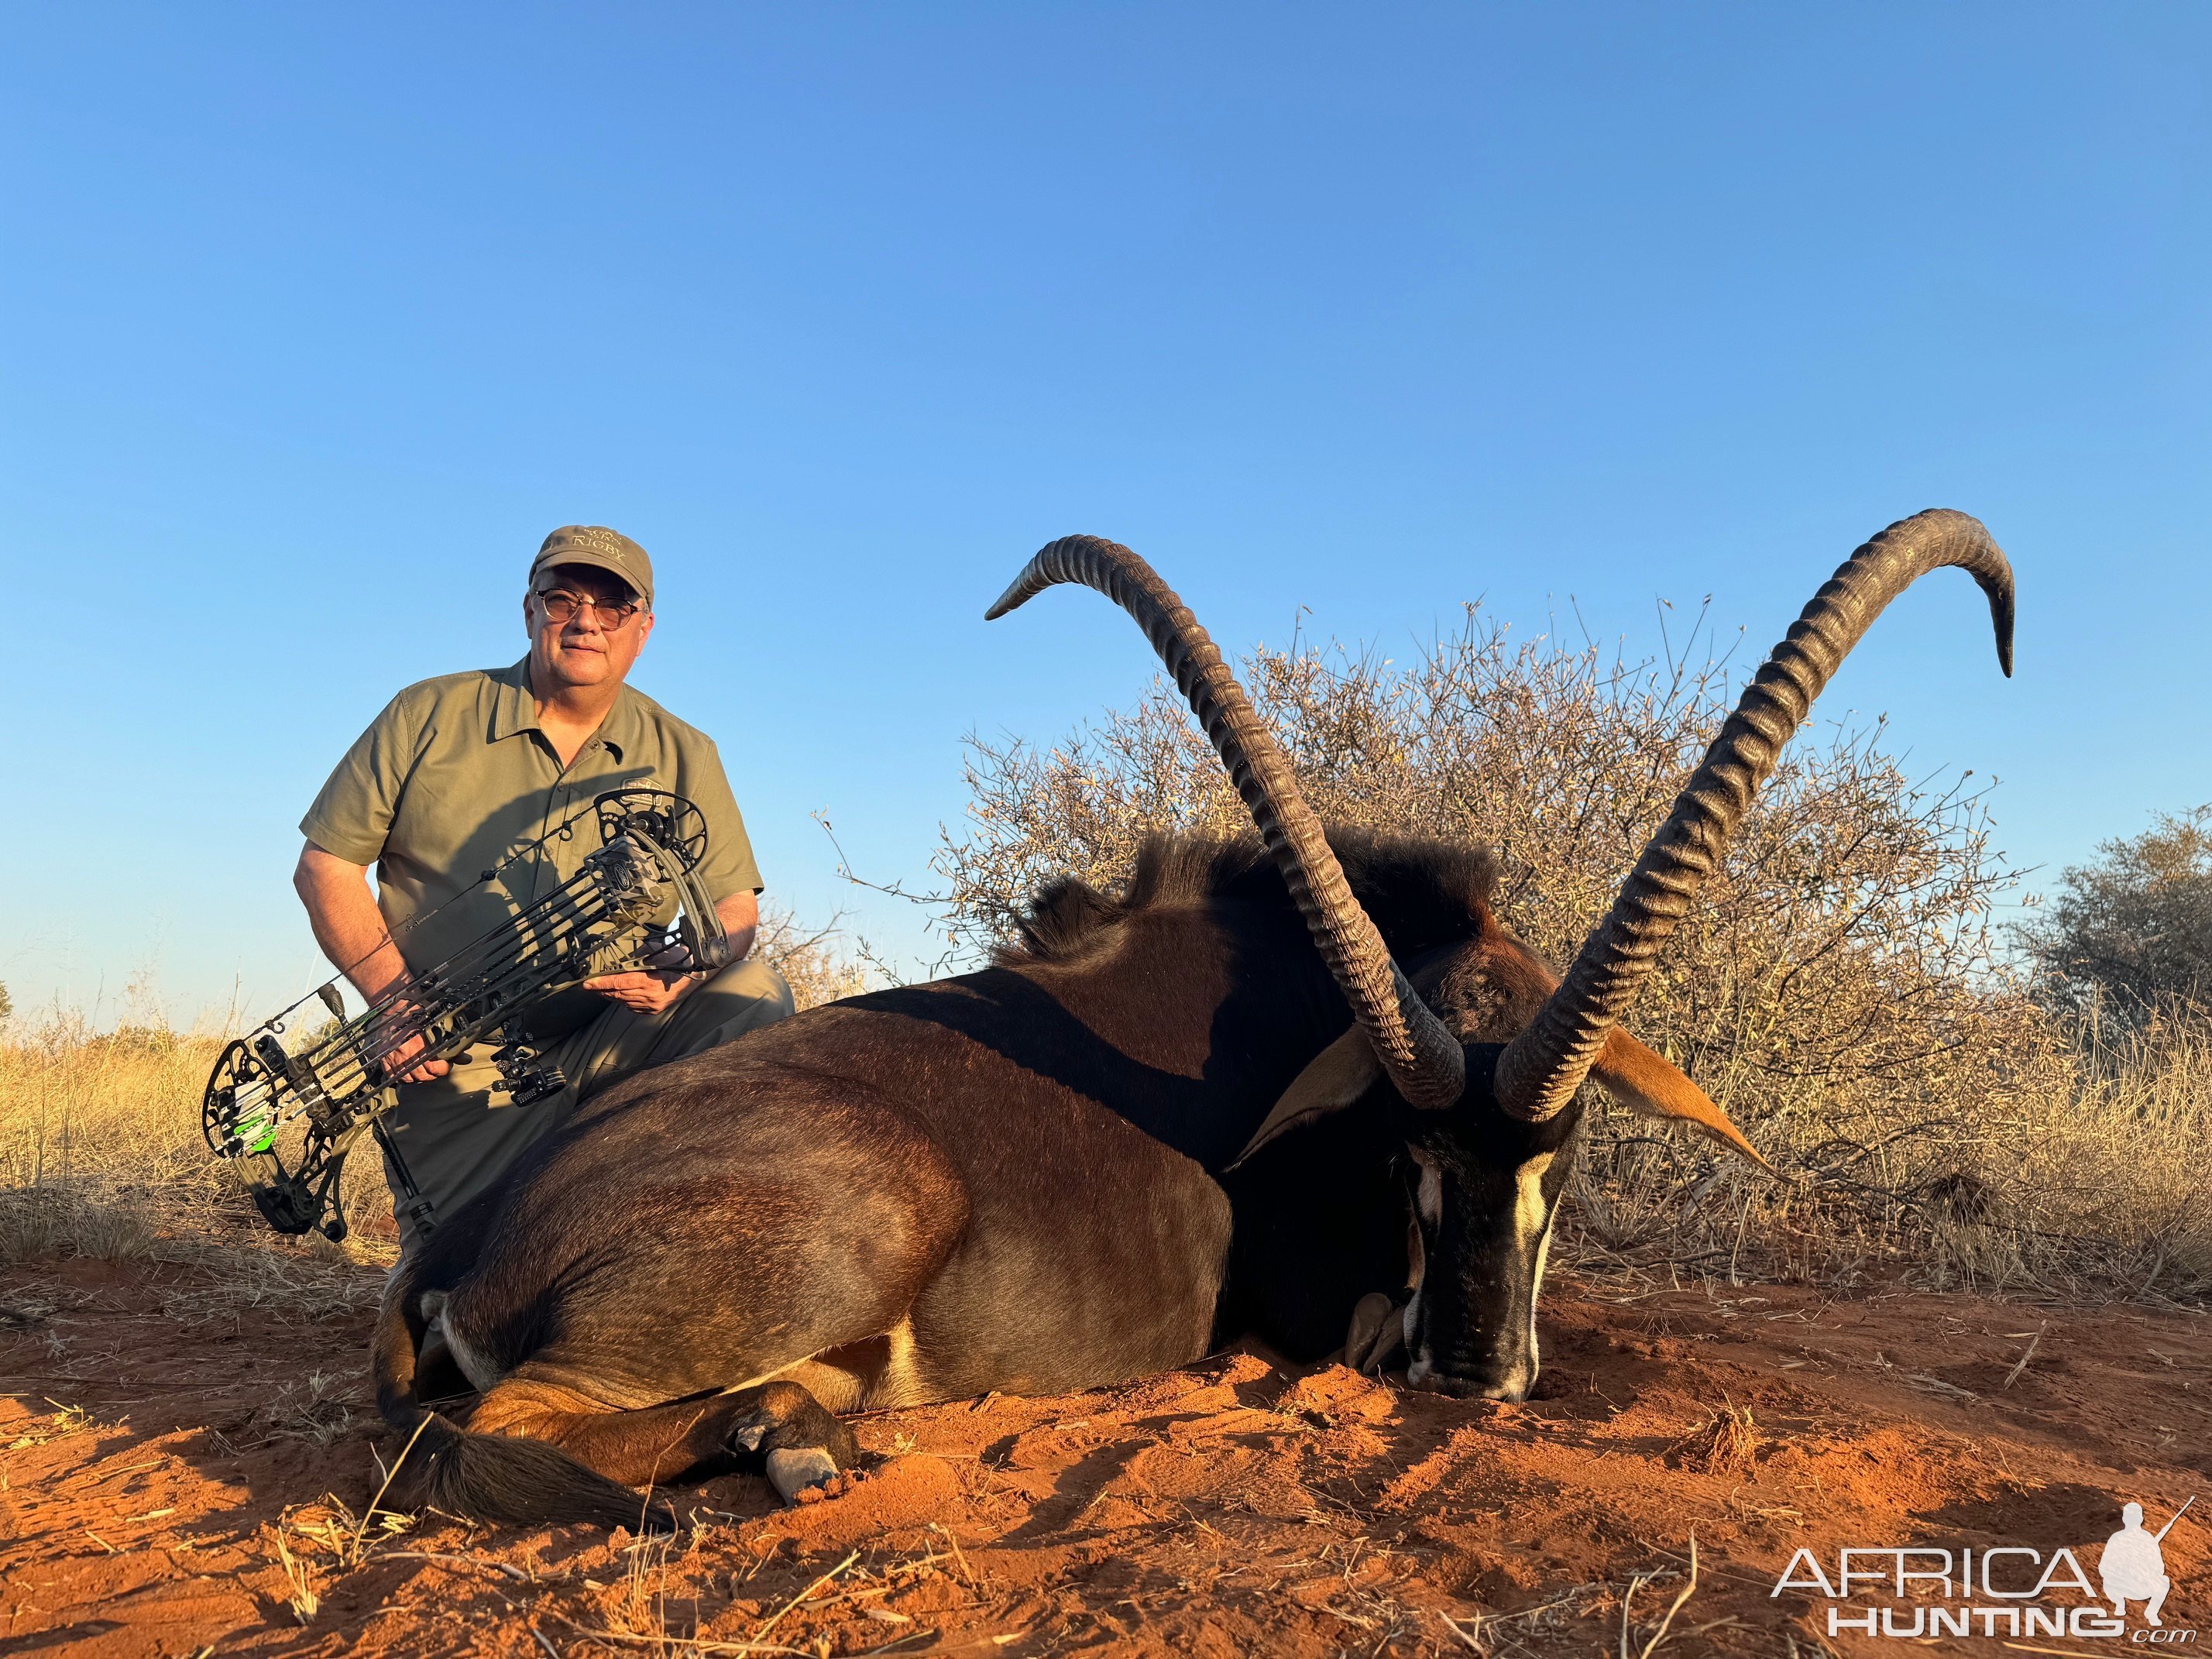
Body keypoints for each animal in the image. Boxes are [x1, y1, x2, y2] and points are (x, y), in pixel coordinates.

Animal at [376, 510, 2008, 1530]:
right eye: (1404, 1151)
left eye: (1573, 1144)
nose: (1475, 1372)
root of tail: (459, 1247)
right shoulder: (1316, 1300)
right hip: (870, 1209)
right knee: (484, 1441)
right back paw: (784, 1460)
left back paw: (792, 1439)